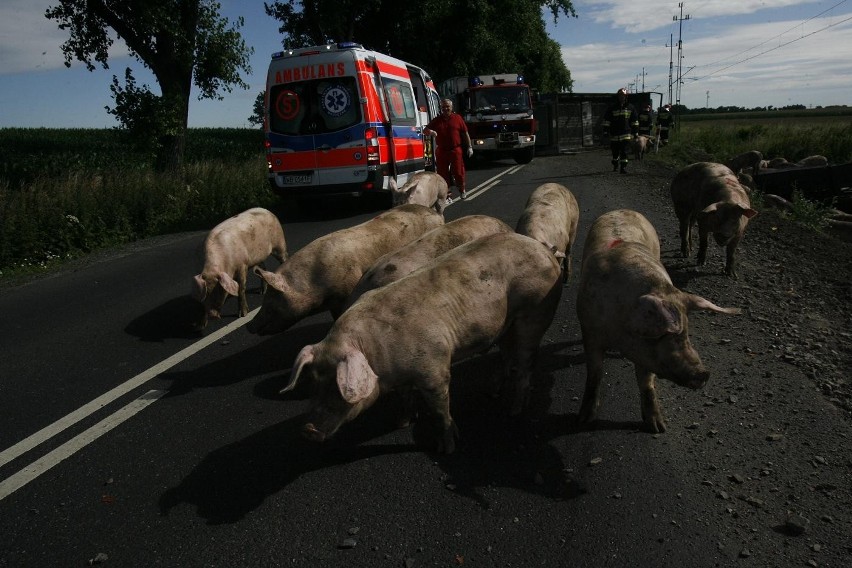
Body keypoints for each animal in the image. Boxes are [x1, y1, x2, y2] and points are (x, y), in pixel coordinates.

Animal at [282, 231, 568, 452]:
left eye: (337, 386)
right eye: (313, 383)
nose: (307, 430)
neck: (377, 357)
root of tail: (544, 249)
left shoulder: (434, 367)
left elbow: (441, 409)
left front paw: (447, 448)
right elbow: (405, 397)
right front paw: (401, 423)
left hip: (536, 308)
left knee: (526, 361)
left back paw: (514, 411)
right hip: (506, 323)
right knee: (506, 354)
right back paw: (492, 392)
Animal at [576, 211, 744, 432]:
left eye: (687, 332)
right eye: (664, 334)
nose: (704, 373)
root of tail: (622, 209)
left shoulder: (645, 353)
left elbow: (646, 383)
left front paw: (658, 427)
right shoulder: (590, 332)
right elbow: (594, 374)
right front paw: (583, 420)